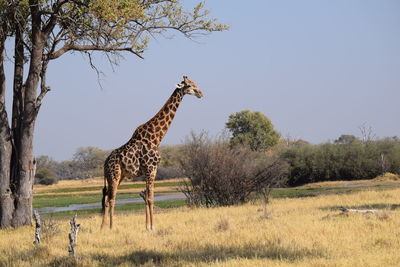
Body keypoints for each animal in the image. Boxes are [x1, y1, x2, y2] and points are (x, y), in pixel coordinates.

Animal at [101, 75, 205, 230]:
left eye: (194, 83)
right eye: (189, 85)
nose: (201, 93)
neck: (156, 137)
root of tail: (105, 163)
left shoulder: (153, 170)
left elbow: (150, 198)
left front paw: (148, 226)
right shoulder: (150, 169)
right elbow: (149, 199)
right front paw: (152, 226)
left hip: (118, 176)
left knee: (107, 198)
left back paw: (102, 227)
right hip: (114, 175)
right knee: (111, 199)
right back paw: (111, 227)